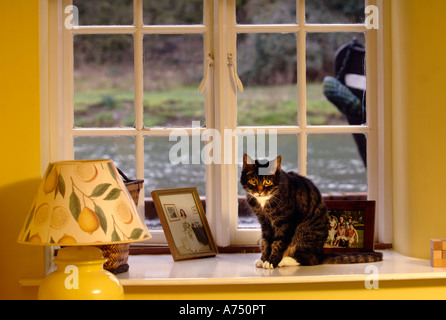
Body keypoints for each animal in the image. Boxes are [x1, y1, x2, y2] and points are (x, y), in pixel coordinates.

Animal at [240, 154, 384, 268]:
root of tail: (320, 253)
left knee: (310, 260)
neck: (264, 202)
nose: (259, 191)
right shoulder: (264, 222)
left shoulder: (285, 222)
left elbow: (278, 242)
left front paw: (271, 262)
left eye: (268, 181)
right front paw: (263, 259)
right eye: (253, 180)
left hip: (303, 233)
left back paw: (285, 261)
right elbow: (265, 241)